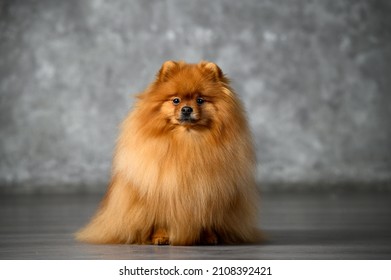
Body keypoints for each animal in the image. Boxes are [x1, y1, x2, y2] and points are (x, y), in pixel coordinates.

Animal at [76, 60, 260, 244]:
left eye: (200, 100)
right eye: (176, 100)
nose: (187, 109)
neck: (188, 140)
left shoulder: (210, 192)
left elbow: (207, 219)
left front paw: (209, 236)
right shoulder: (162, 191)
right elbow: (161, 220)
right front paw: (160, 236)